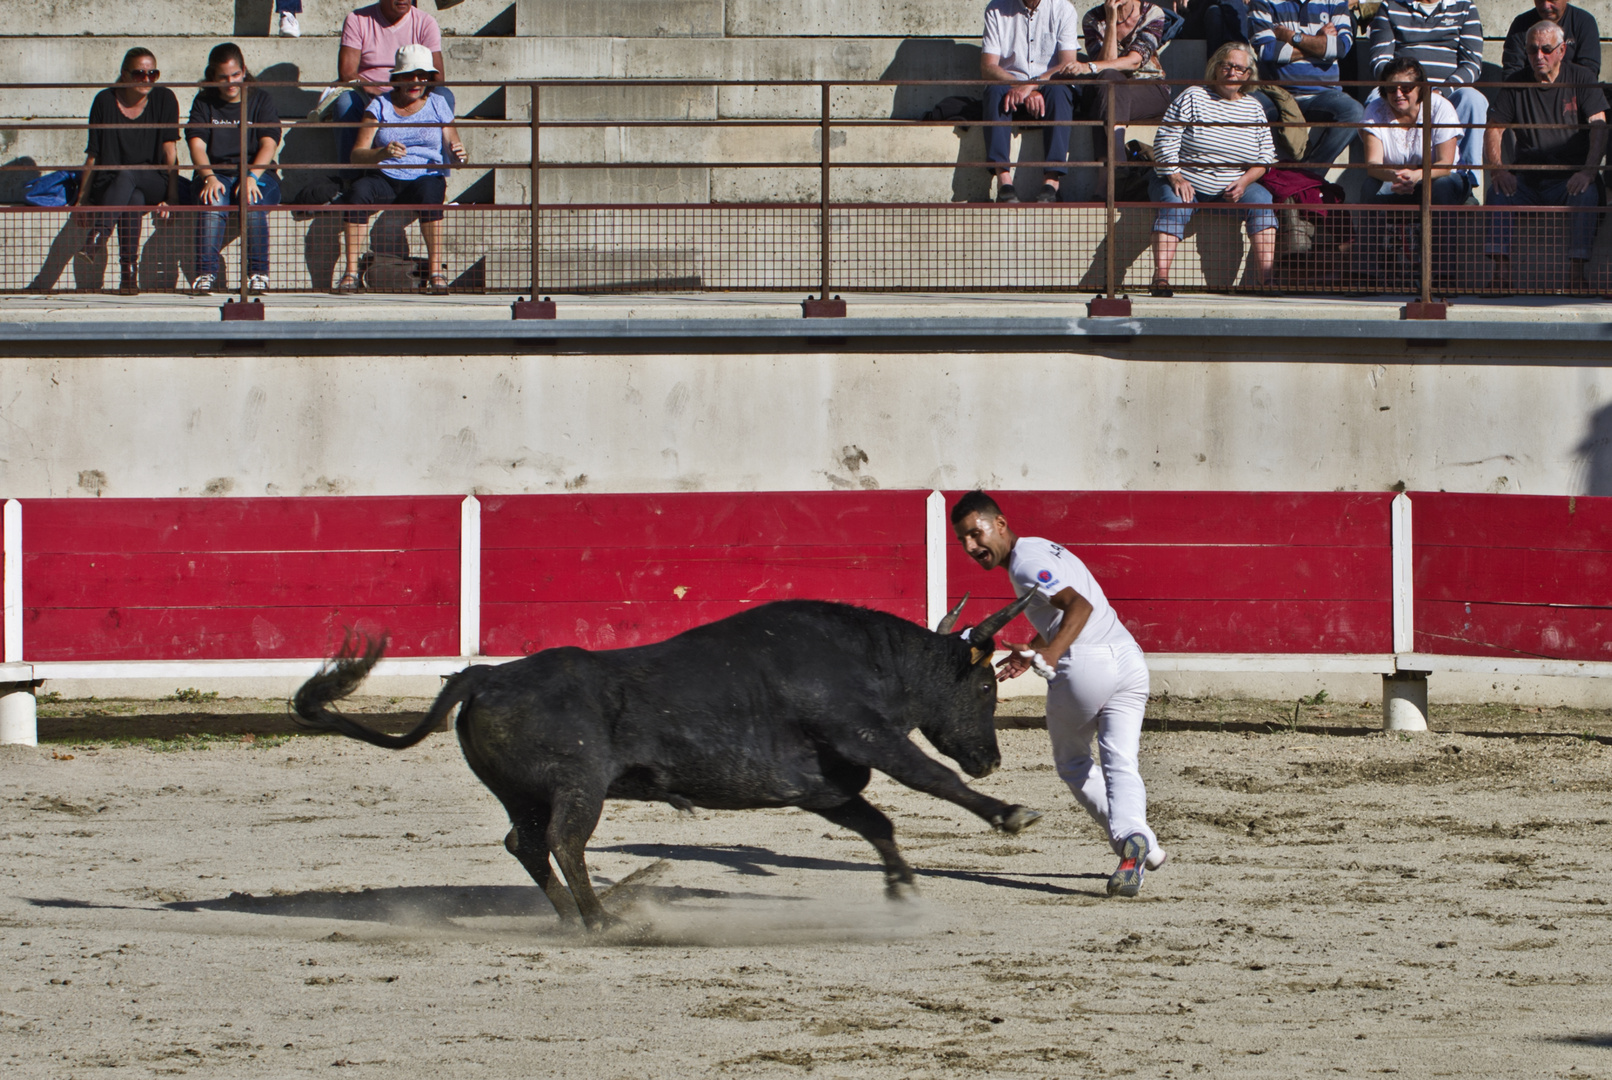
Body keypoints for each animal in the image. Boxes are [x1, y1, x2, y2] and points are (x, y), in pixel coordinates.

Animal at [291, 593, 1038, 928]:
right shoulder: (866, 738)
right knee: (563, 840)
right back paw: (602, 919)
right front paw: (1012, 813)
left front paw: (902, 888)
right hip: (580, 785)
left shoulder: (823, 787)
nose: (991, 759)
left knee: (526, 844)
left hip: (523, 793)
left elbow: (878, 822)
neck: (871, 662)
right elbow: (930, 778)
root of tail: (485, 674)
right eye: (985, 686)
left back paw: (573, 918)